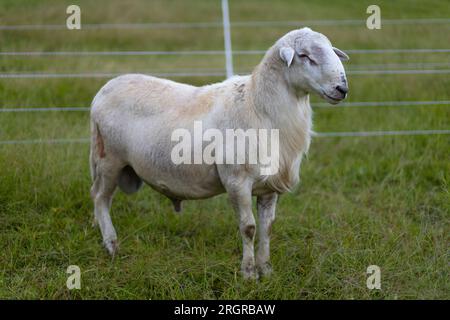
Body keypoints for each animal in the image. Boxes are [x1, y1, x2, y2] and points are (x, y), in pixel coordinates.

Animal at [88, 27, 348, 278]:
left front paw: (266, 270)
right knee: (100, 197)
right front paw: (248, 273)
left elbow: (267, 228)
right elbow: (249, 228)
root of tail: (104, 89)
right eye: (304, 56)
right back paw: (111, 244)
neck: (258, 106)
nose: (342, 89)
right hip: (108, 158)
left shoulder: (269, 187)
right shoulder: (236, 181)